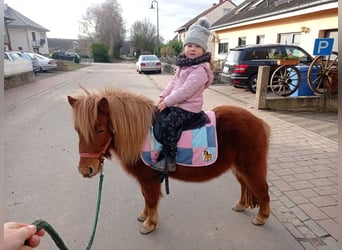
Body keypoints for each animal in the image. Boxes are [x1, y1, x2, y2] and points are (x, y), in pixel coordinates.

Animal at [67, 86, 272, 234]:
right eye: (77, 130)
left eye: (100, 129)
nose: (86, 170)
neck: (141, 135)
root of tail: (259, 122)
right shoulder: (146, 180)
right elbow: (145, 197)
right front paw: (144, 216)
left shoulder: (149, 179)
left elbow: (151, 199)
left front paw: (150, 224)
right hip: (238, 168)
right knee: (245, 186)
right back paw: (241, 205)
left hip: (251, 168)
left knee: (262, 189)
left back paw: (261, 217)